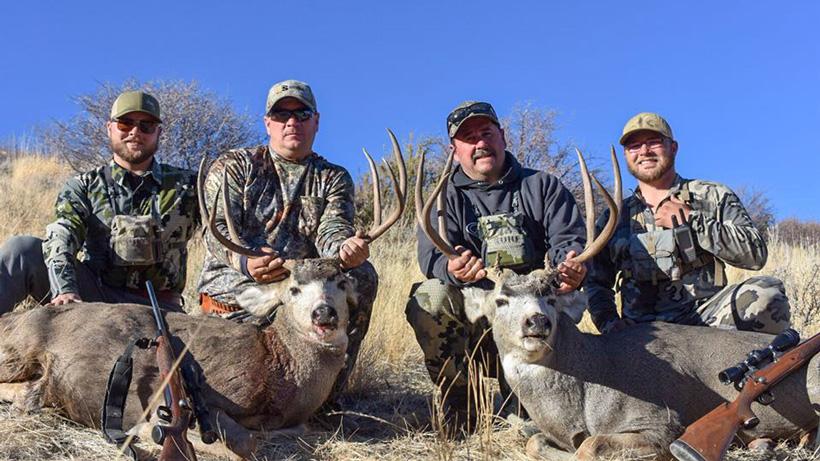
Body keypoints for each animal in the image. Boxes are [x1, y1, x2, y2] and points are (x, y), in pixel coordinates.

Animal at [0, 129, 407, 460]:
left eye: (340, 282)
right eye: (293, 289)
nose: (324, 314)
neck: (280, 369)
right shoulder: (212, 390)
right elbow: (244, 441)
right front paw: (149, 432)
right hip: (20, 348)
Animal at [416, 146, 819, 460]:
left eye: (550, 297)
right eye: (501, 300)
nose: (537, 322)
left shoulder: (662, 421)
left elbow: (589, 446)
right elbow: (535, 442)